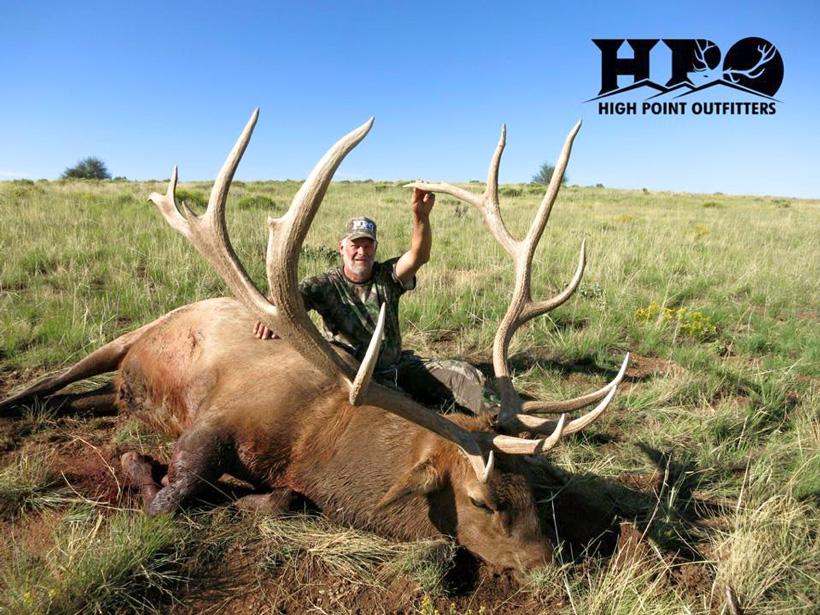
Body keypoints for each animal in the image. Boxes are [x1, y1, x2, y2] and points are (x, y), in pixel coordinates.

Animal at [0, 110, 629, 574]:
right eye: (483, 502)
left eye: (535, 494)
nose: (552, 566)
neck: (313, 444)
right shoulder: (214, 421)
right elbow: (168, 498)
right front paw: (137, 461)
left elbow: (282, 500)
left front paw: (249, 498)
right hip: (130, 335)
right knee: (48, 379)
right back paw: (17, 406)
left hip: (118, 388)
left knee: (83, 397)